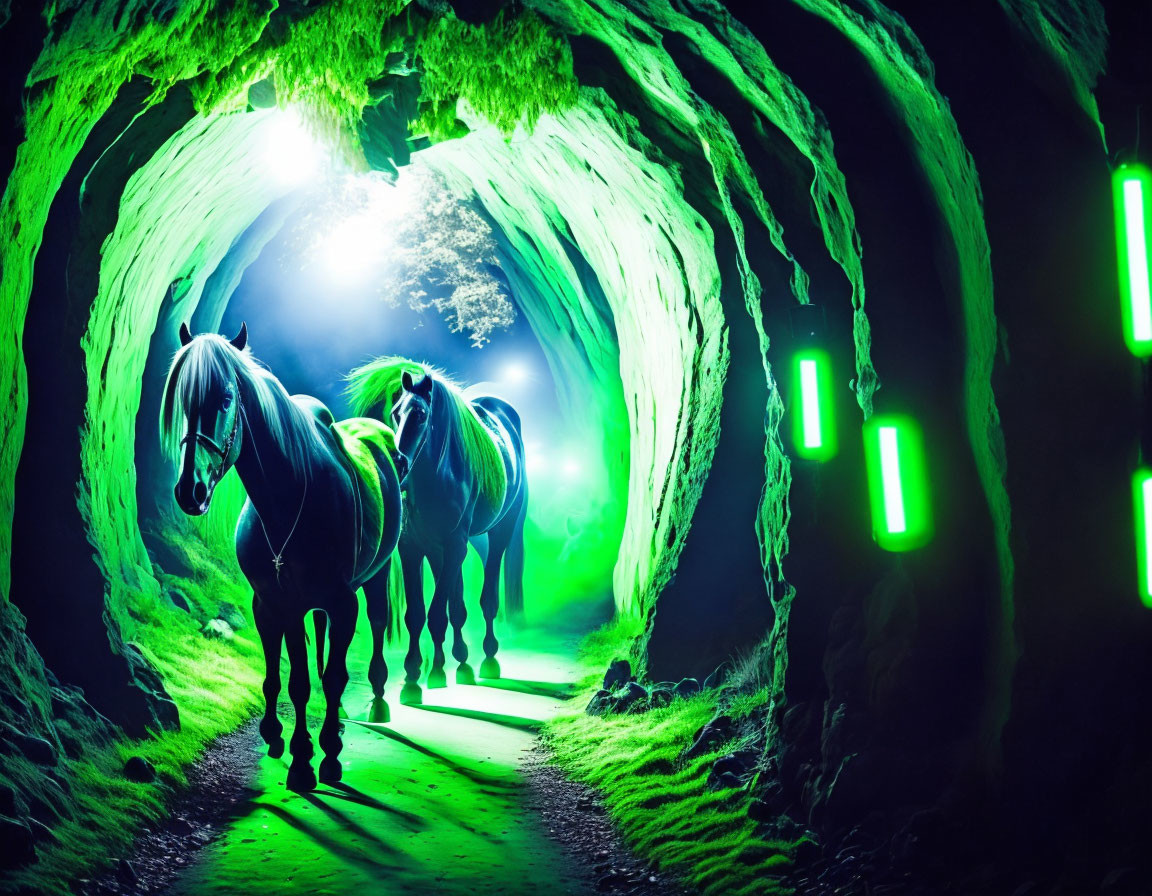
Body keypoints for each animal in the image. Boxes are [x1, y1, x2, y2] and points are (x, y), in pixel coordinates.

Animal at [161, 322, 405, 787]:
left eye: (225, 399)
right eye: (182, 400)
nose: (189, 490)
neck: (289, 499)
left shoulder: (342, 601)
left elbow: (332, 677)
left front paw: (325, 758)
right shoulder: (274, 603)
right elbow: (288, 681)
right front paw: (290, 747)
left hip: (374, 579)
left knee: (377, 621)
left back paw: (376, 703)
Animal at [343, 357, 527, 704]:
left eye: (421, 415)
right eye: (396, 412)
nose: (399, 462)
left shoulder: (455, 544)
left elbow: (438, 612)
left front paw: (430, 673)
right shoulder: (413, 548)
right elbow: (418, 614)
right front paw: (414, 676)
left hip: (499, 532)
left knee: (487, 596)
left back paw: (487, 658)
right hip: (453, 546)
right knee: (457, 602)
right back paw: (459, 662)